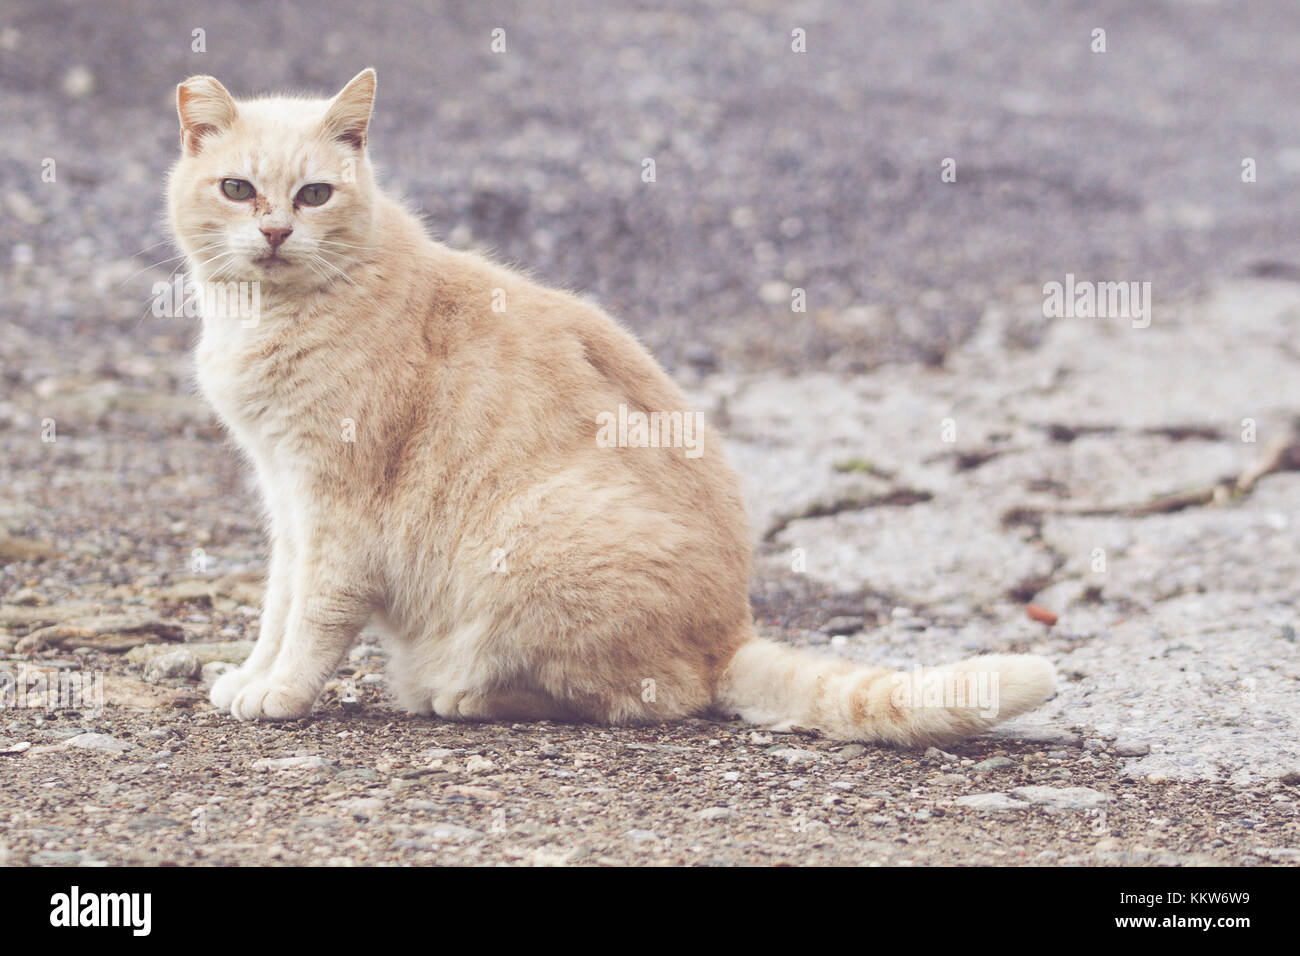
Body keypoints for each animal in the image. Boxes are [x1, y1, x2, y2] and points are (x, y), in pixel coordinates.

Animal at [167, 69, 1055, 749]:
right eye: (239, 190)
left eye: (314, 195)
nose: (276, 232)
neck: (267, 318)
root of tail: (732, 634)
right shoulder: (286, 500)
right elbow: (277, 605)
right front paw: (252, 674)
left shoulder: (337, 511)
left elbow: (313, 618)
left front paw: (282, 692)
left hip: (531, 545)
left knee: (651, 696)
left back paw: (458, 692)